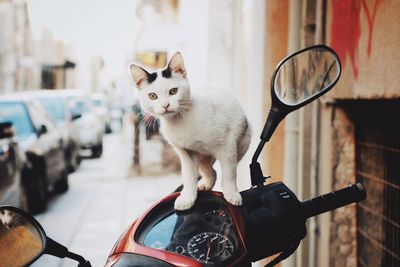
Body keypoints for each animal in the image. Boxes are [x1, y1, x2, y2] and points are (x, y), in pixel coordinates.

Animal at [130, 52, 252, 211]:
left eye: (173, 91)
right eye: (152, 96)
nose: (165, 105)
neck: (179, 121)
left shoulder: (227, 145)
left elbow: (229, 174)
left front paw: (232, 194)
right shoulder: (185, 152)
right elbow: (188, 177)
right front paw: (187, 198)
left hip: (241, 142)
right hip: (200, 154)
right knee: (210, 171)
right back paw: (205, 183)